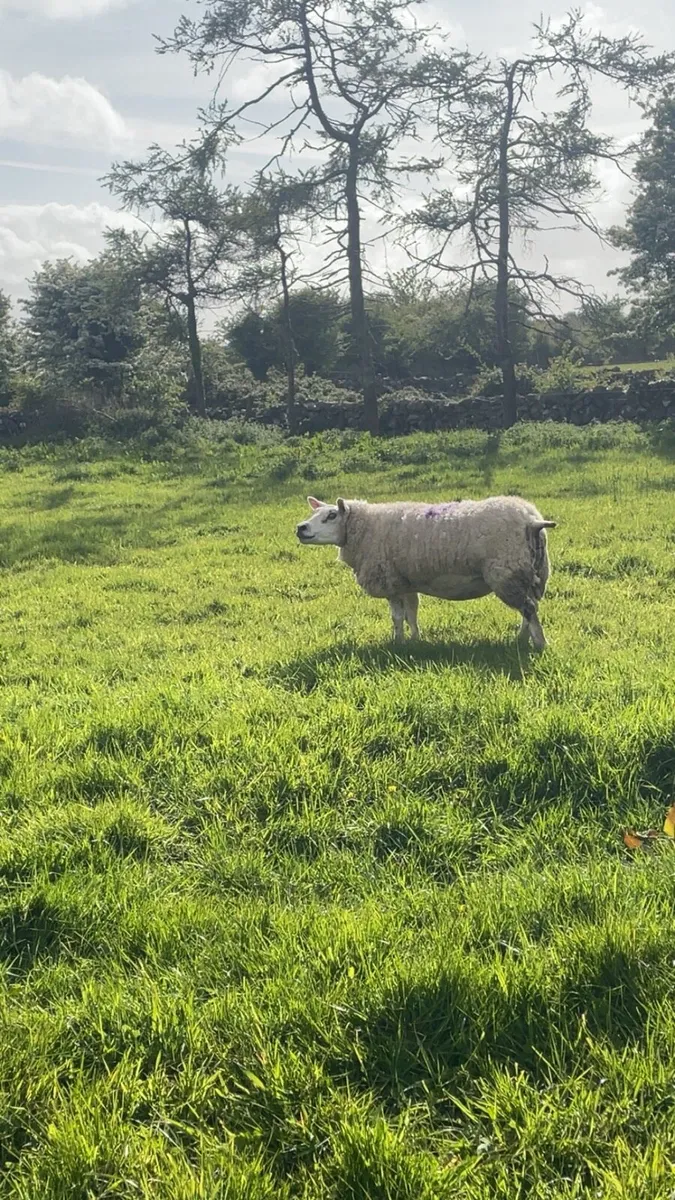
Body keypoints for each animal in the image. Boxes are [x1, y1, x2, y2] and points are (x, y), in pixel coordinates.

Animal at [296, 495, 556, 648]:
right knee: (530, 607)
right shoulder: (406, 582)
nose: (300, 528)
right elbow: (411, 613)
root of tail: (532, 521)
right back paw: (522, 638)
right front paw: (414, 639)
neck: (366, 528)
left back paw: (540, 644)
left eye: (331, 515)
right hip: (528, 573)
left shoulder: (389, 581)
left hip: (506, 572)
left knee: (529, 609)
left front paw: (397, 641)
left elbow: (397, 617)